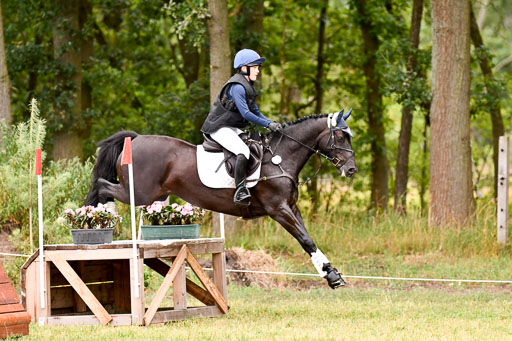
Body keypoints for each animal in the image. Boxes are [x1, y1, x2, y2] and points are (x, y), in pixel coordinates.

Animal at [85, 110, 356, 286]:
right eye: (340, 137)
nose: (351, 170)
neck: (280, 157)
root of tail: (136, 138)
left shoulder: (291, 207)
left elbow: (307, 238)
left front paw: (330, 273)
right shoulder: (278, 209)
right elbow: (306, 240)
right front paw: (331, 276)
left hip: (156, 193)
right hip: (140, 192)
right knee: (102, 186)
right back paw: (100, 219)